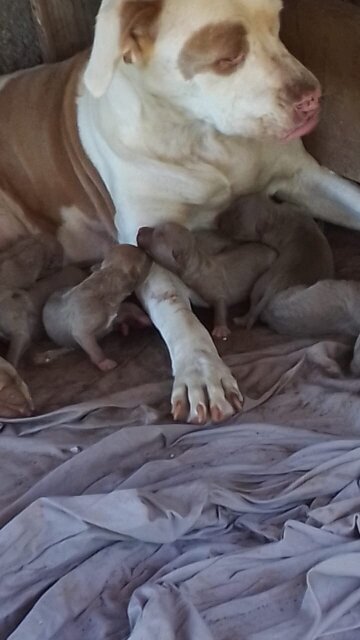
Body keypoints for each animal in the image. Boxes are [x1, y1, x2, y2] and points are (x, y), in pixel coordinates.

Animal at [137, 222, 276, 340]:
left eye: (159, 234)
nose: (140, 230)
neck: (196, 262)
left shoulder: (215, 286)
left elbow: (221, 302)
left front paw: (220, 328)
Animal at [217, 196, 334, 330]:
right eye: (231, 207)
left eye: (239, 233)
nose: (217, 221)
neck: (275, 216)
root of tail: (276, 287)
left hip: (260, 283)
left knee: (253, 305)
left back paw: (241, 320)